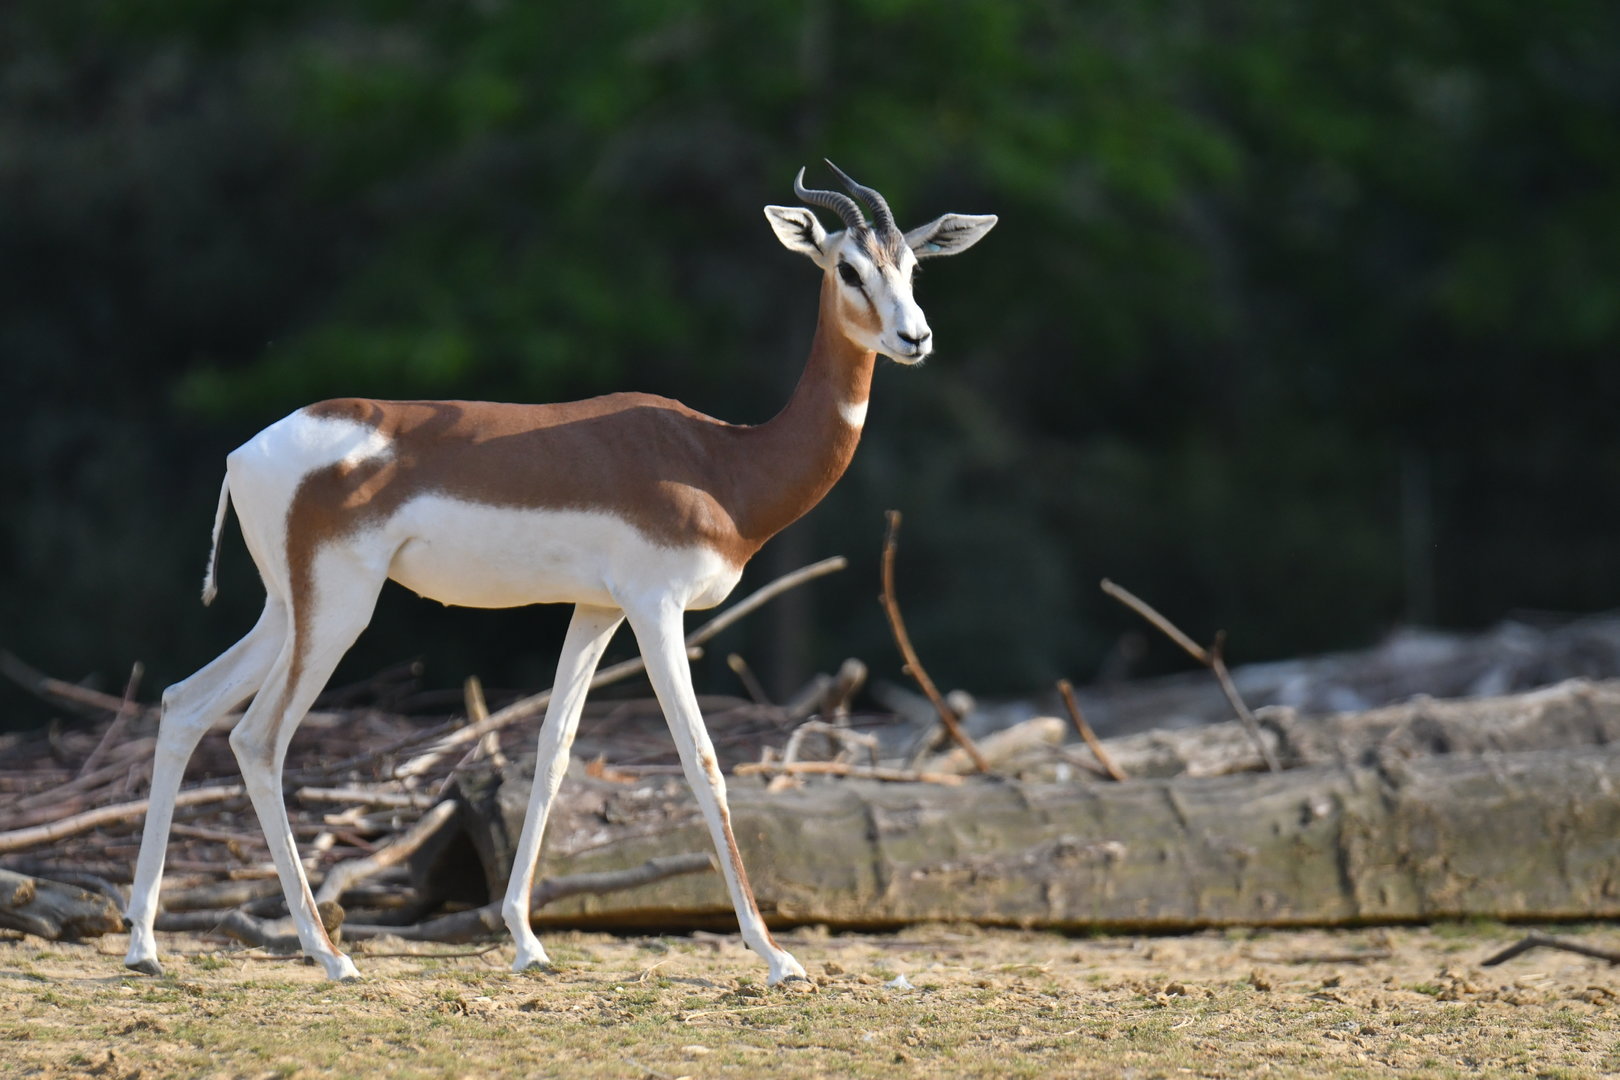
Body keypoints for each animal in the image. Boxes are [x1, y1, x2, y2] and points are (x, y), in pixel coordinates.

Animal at [122, 162, 996, 985]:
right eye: (848, 267)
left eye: (913, 266)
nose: (915, 337)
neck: (725, 465)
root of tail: (243, 453)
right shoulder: (655, 607)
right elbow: (701, 759)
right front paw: (776, 955)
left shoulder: (595, 610)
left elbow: (554, 749)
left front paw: (526, 939)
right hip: (338, 610)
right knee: (258, 737)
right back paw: (329, 955)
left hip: (287, 609)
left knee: (185, 703)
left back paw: (144, 946)